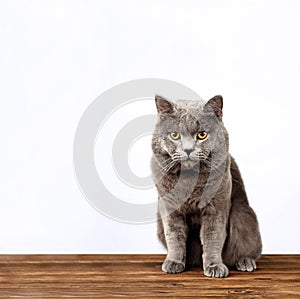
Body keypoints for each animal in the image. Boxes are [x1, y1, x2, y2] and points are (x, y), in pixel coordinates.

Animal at [151, 95, 262, 278]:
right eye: (175, 135)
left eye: (201, 134)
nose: (188, 149)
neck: (190, 179)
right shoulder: (169, 207)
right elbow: (174, 236)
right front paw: (174, 263)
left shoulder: (216, 206)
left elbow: (212, 237)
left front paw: (215, 266)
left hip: (242, 214)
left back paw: (245, 262)